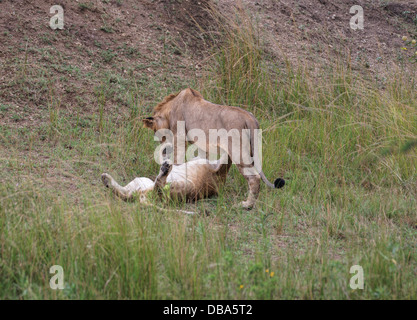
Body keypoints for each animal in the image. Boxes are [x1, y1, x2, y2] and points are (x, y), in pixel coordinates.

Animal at [141, 88, 284, 208]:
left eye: (156, 132)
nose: (164, 148)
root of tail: (250, 117)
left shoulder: (179, 138)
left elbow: (177, 159)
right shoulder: (202, 144)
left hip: (238, 152)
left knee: (254, 178)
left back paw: (246, 205)